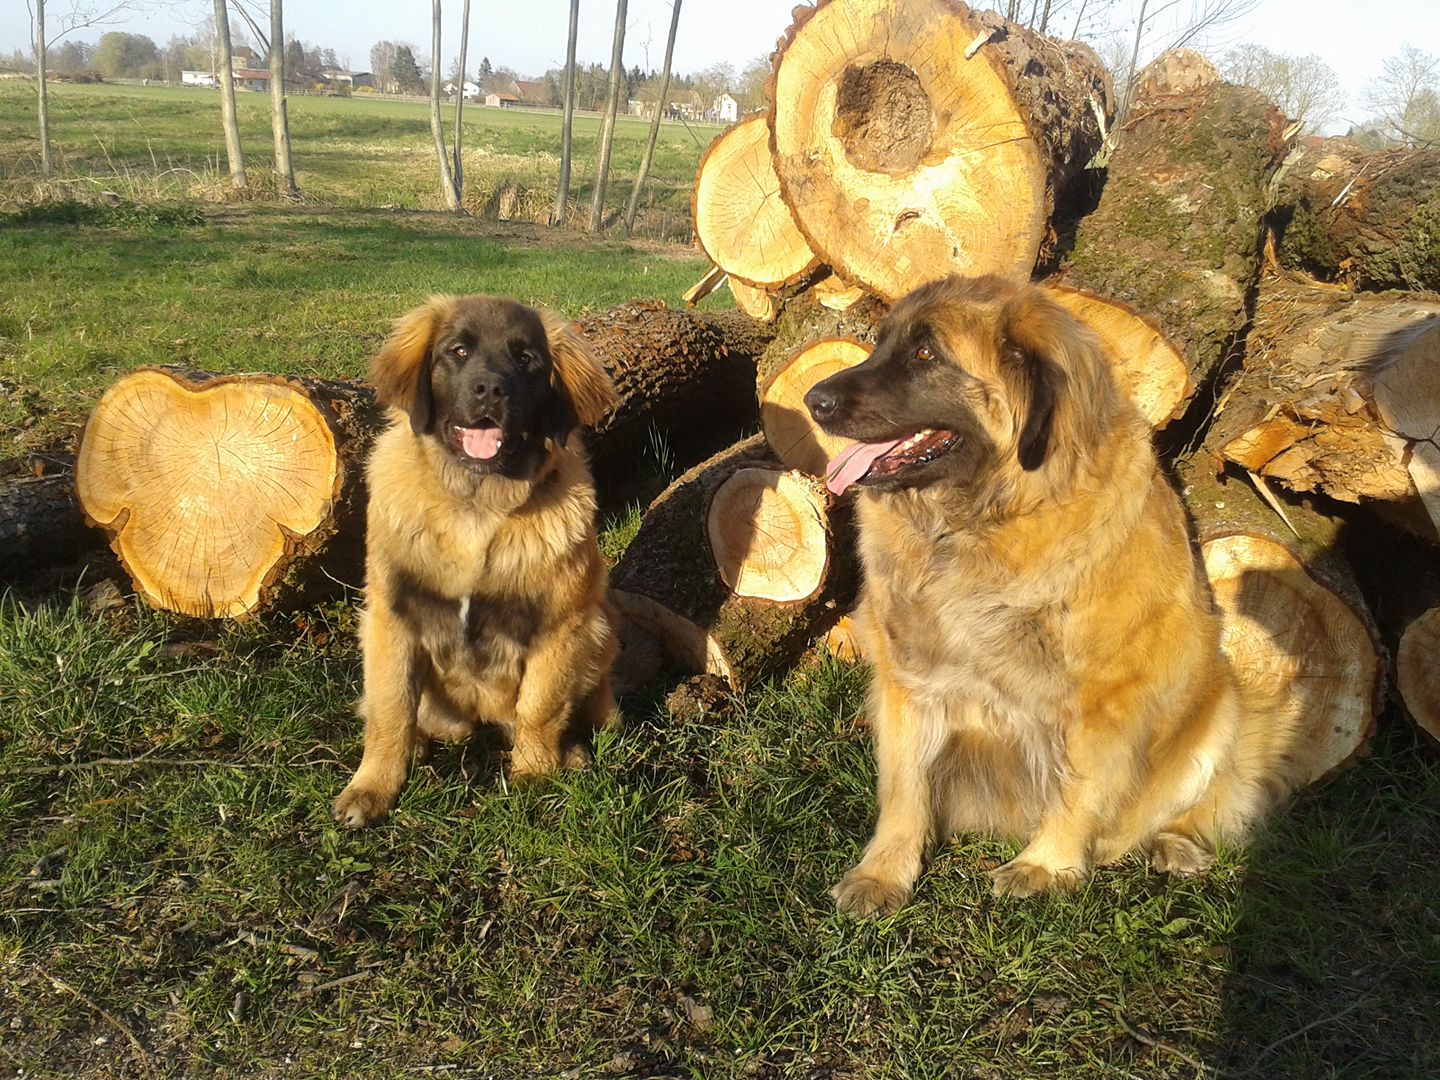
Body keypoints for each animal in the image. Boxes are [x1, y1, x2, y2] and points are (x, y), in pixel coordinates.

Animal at [333, 295, 619, 829]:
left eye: (526, 359)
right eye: (458, 351)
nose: (489, 390)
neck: (476, 508)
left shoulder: (559, 624)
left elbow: (539, 707)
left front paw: (534, 776)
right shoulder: (393, 619)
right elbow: (390, 713)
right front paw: (372, 788)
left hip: (599, 630)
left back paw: (569, 752)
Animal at [805, 276, 1306, 915]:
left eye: (925, 353)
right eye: (881, 344)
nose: (813, 400)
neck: (985, 521)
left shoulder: (1107, 698)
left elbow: (1079, 787)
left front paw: (1046, 866)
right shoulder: (908, 681)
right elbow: (904, 790)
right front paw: (884, 874)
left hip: (1223, 710)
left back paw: (1174, 844)